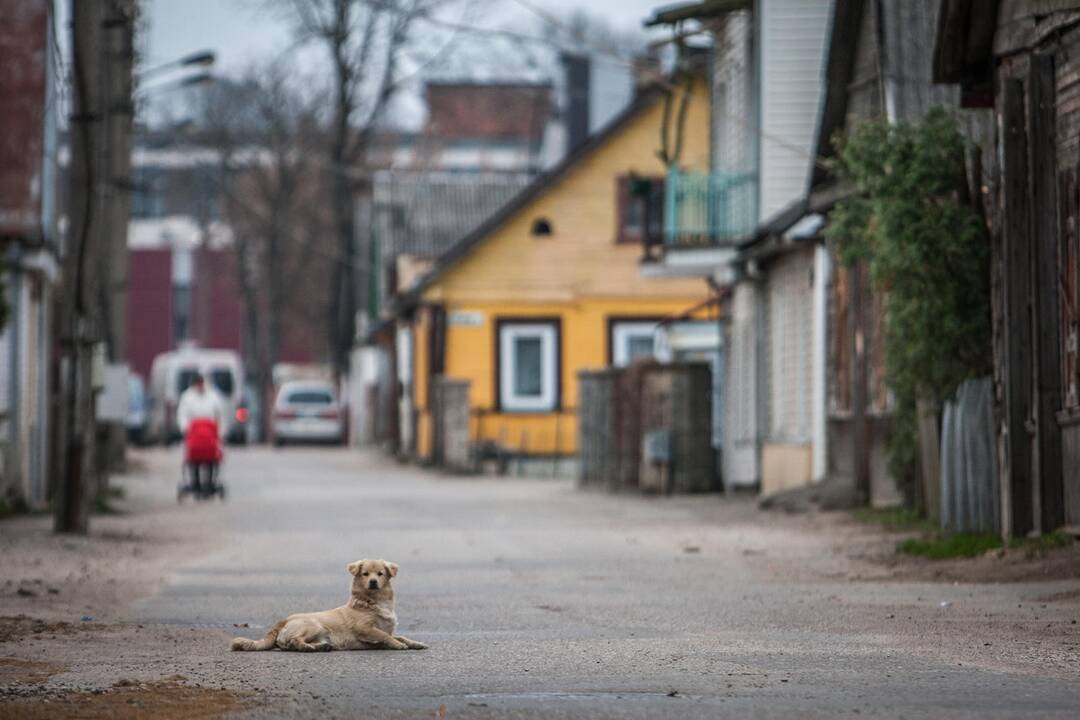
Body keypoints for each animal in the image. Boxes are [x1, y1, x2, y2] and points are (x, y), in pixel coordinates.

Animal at [231, 557, 425, 651]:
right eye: (365, 574)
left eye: (380, 574)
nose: (373, 582)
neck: (371, 602)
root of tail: (283, 620)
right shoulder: (365, 629)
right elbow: (386, 636)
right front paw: (398, 645)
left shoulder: (388, 629)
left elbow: (399, 636)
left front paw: (415, 643)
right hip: (313, 626)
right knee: (293, 642)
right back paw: (308, 648)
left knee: (288, 645)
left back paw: (321, 647)